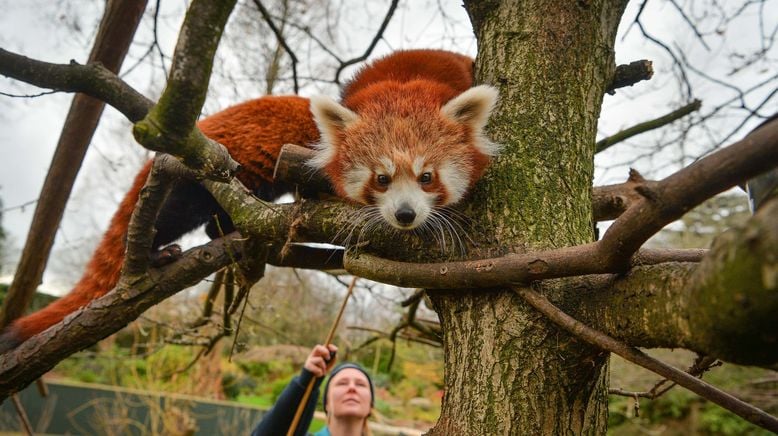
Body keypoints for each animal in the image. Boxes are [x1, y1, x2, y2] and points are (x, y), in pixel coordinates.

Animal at [0, 49, 498, 352]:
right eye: (381, 178)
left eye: (428, 177)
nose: (405, 215)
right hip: (199, 179)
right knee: (176, 215)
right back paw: (157, 252)